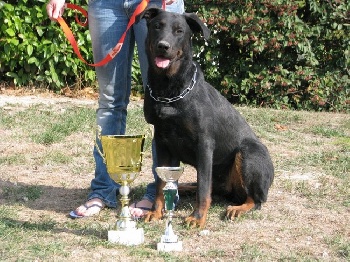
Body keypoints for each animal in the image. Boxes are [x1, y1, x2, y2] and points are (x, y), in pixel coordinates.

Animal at [138, 8, 274, 228]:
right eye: (157, 26)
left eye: (179, 31)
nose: (163, 46)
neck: (169, 89)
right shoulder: (161, 142)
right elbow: (161, 184)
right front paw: (155, 212)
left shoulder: (204, 144)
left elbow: (203, 190)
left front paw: (197, 217)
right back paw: (183, 187)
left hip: (248, 153)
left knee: (255, 200)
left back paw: (238, 208)